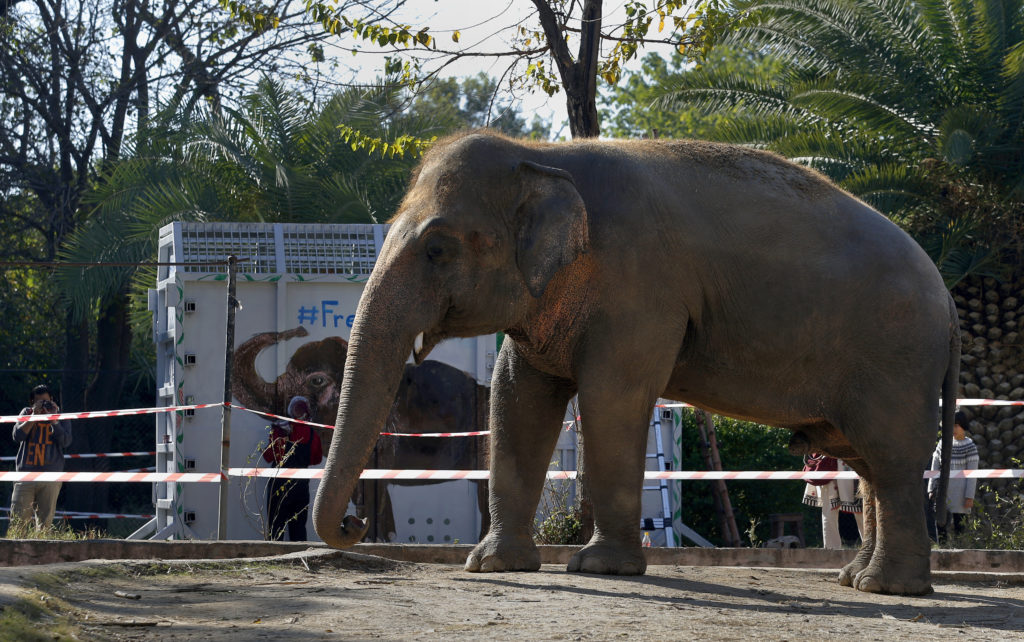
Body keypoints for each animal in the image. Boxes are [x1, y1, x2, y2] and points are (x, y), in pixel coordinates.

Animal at [313, 130, 958, 597]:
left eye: (437, 249)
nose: (355, 526)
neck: (543, 156)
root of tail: (947, 296)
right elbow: (517, 397)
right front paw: (493, 566)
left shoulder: (641, 287)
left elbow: (612, 397)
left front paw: (600, 569)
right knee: (867, 463)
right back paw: (856, 580)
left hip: (896, 356)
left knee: (890, 460)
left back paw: (889, 589)